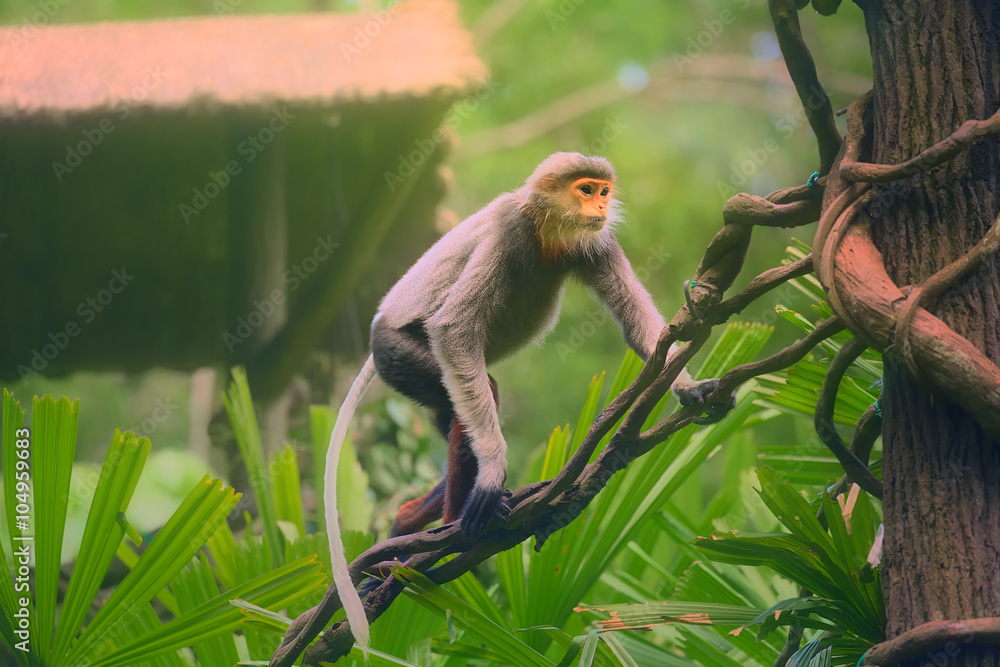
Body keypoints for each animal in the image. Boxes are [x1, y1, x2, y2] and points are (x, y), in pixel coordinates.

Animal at [322, 152, 735, 653]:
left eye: (603, 191)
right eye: (585, 190)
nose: (601, 206)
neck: (545, 235)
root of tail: (376, 331)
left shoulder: (595, 243)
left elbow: (642, 328)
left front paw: (690, 388)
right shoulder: (509, 230)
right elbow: (454, 330)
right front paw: (493, 473)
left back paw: (405, 532)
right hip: (401, 355)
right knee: (475, 393)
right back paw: (458, 523)